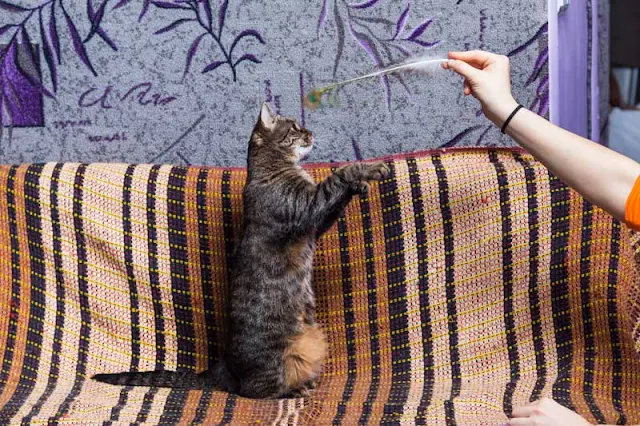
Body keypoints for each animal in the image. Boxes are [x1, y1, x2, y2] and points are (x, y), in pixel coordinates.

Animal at [92, 103, 388, 400]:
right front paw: (368, 170)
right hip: (277, 362)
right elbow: (339, 175)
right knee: (256, 391)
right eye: (294, 127)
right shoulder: (307, 205)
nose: (310, 132)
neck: (273, 168)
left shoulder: (316, 222)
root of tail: (223, 367)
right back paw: (296, 389)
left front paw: (359, 185)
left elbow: (337, 197)